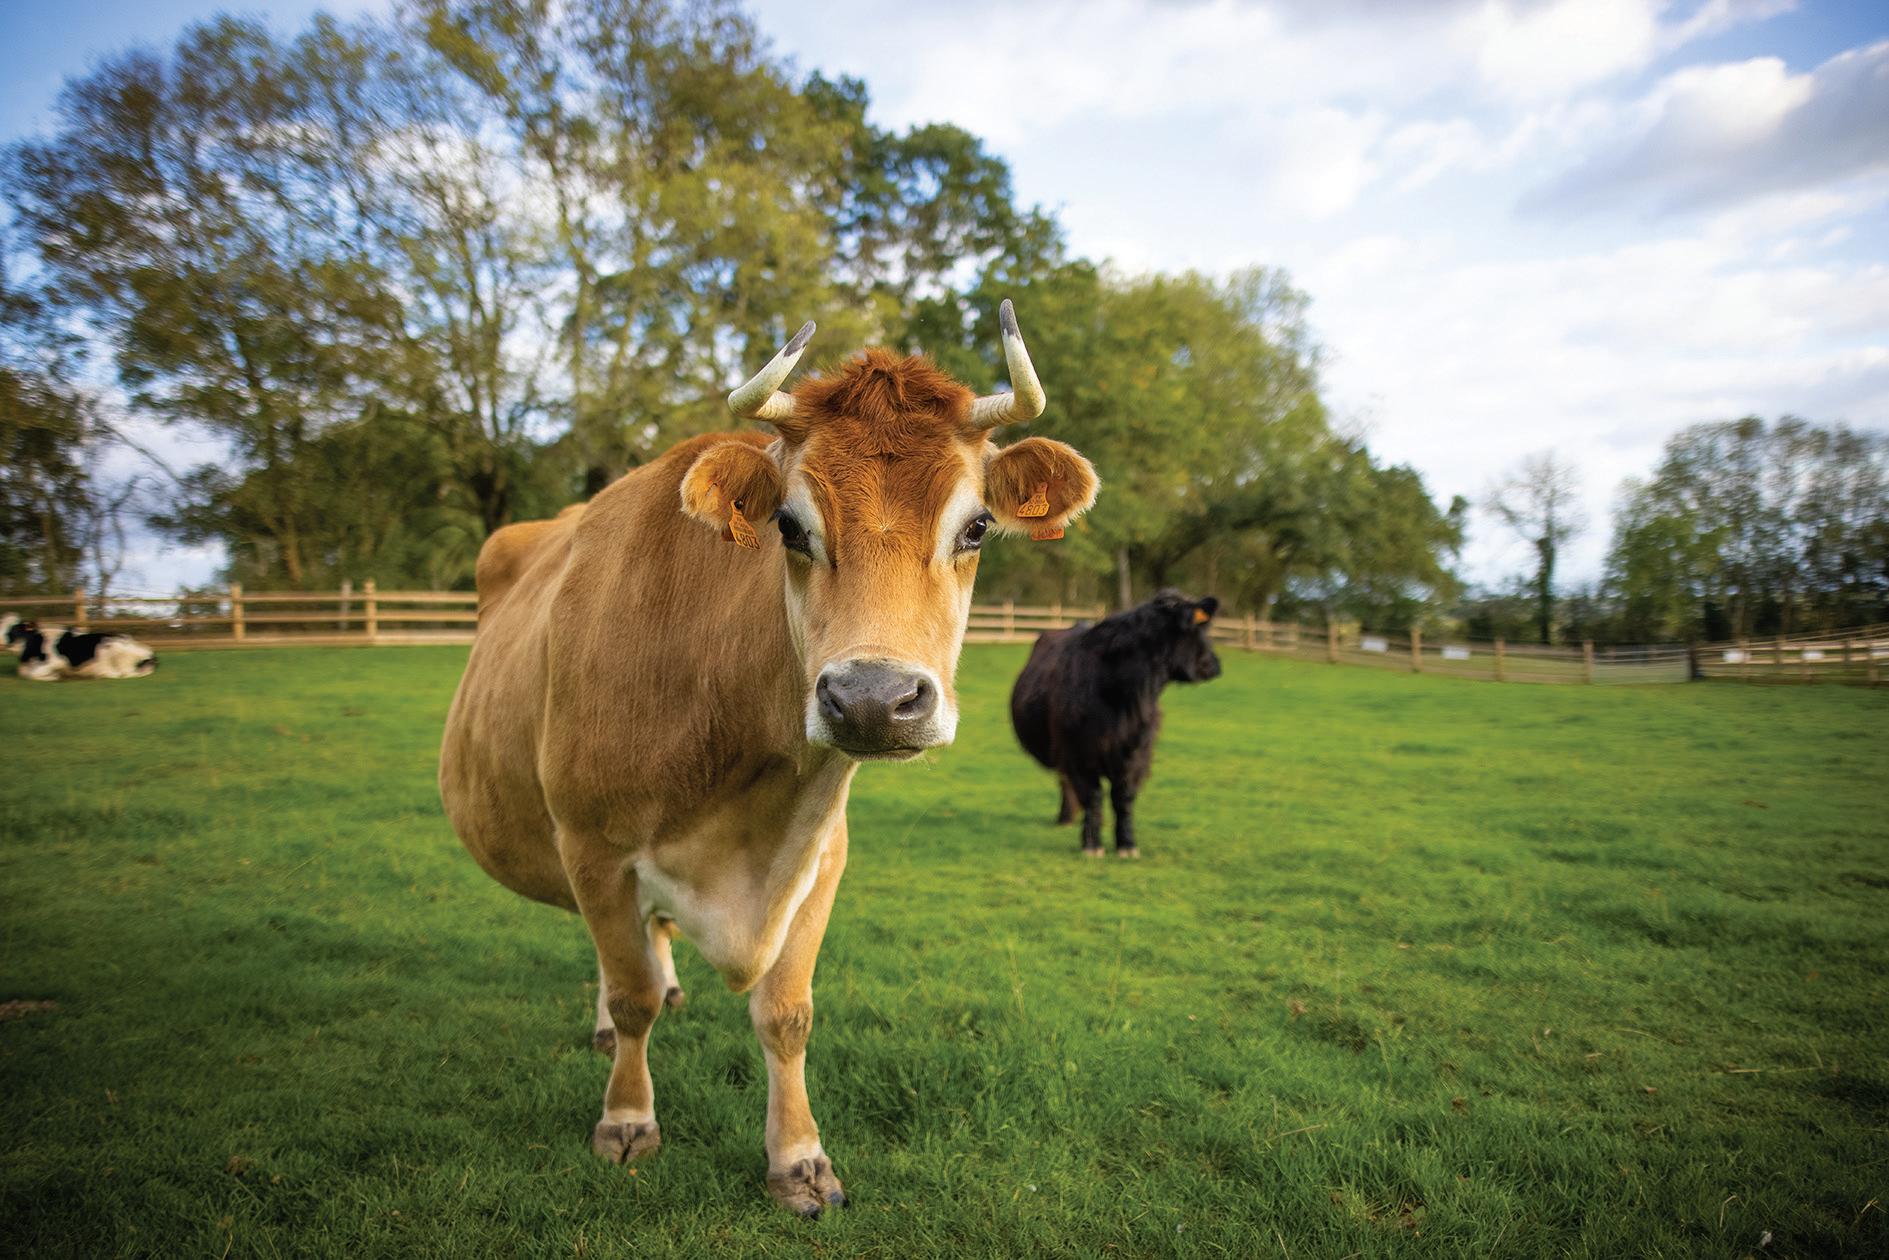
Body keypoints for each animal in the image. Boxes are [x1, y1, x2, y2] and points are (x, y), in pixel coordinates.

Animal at [2, 619, 156, 683]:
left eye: (13, 631)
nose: (4, 643)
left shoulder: (54, 662)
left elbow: (32, 675)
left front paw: (54, 677)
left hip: (112, 650)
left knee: (118, 674)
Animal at [436, 300, 1103, 1216]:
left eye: (975, 527)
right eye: (789, 524)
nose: (871, 697)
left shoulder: (820, 853)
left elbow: (785, 1014)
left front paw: (798, 1159)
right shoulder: (593, 846)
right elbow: (631, 996)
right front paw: (626, 1119)